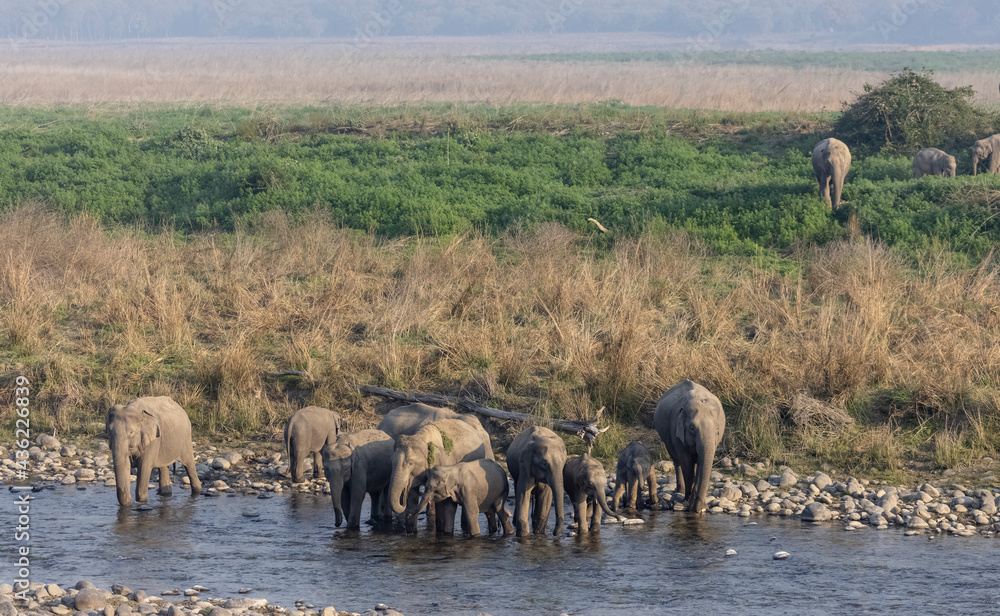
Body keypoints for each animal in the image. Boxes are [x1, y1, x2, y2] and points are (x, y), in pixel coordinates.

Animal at [653, 380, 725, 514]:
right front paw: (687, 502)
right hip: (667, 438)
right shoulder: (676, 431)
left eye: (717, 430)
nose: (700, 509)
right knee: (677, 461)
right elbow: (687, 463)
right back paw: (680, 491)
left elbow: (700, 462)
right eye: (692, 429)